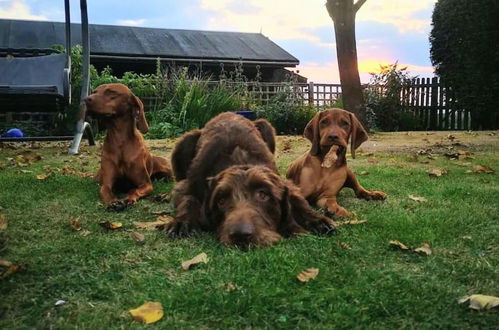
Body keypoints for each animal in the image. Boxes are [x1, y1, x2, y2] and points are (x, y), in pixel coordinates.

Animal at [165, 112, 336, 246]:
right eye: (221, 200)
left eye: (263, 194)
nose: (240, 235)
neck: (238, 158)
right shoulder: (188, 185)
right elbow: (188, 200)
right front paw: (182, 222)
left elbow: (298, 201)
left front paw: (316, 219)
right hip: (185, 140)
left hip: (265, 126)